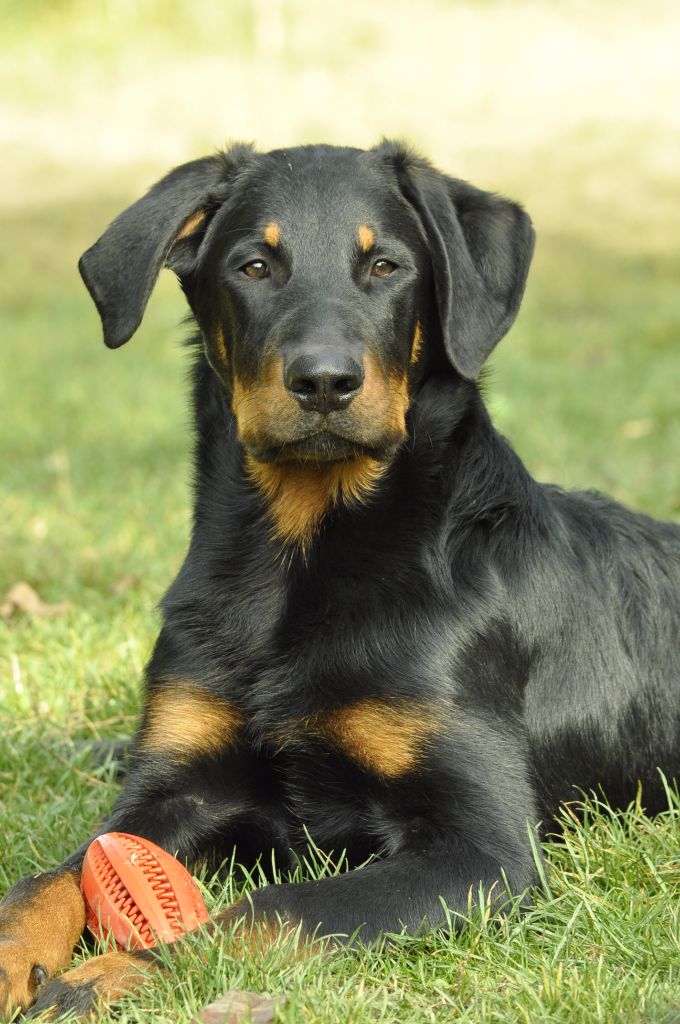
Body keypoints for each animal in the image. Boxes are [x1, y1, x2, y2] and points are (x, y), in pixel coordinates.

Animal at [1, 142, 680, 1015]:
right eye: (254, 265)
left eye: (386, 265)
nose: (324, 382)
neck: (297, 558)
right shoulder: (173, 787)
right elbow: (49, 878)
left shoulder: (481, 850)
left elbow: (264, 912)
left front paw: (99, 981)